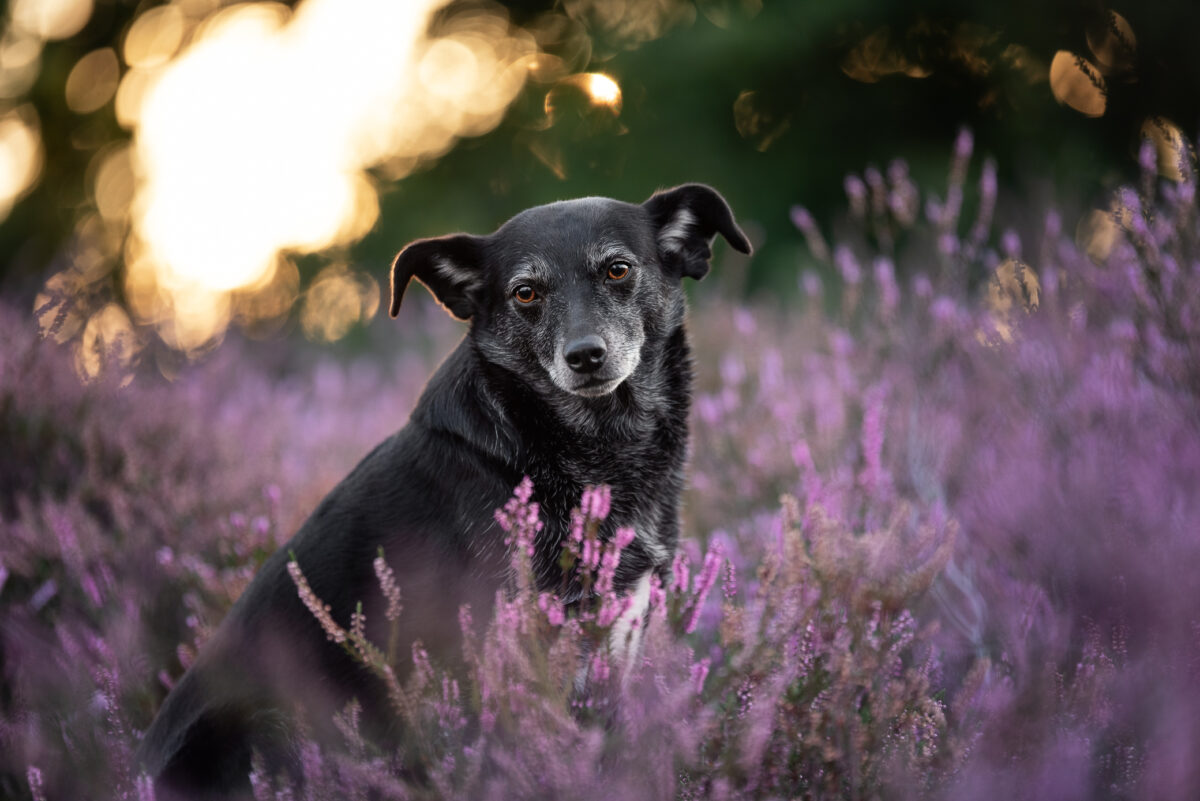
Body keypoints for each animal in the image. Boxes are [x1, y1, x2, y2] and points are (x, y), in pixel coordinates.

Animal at [136, 185, 744, 796]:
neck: (594, 445)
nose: (584, 355)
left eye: (618, 269)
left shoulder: (614, 641)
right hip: (272, 723)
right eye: (525, 292)